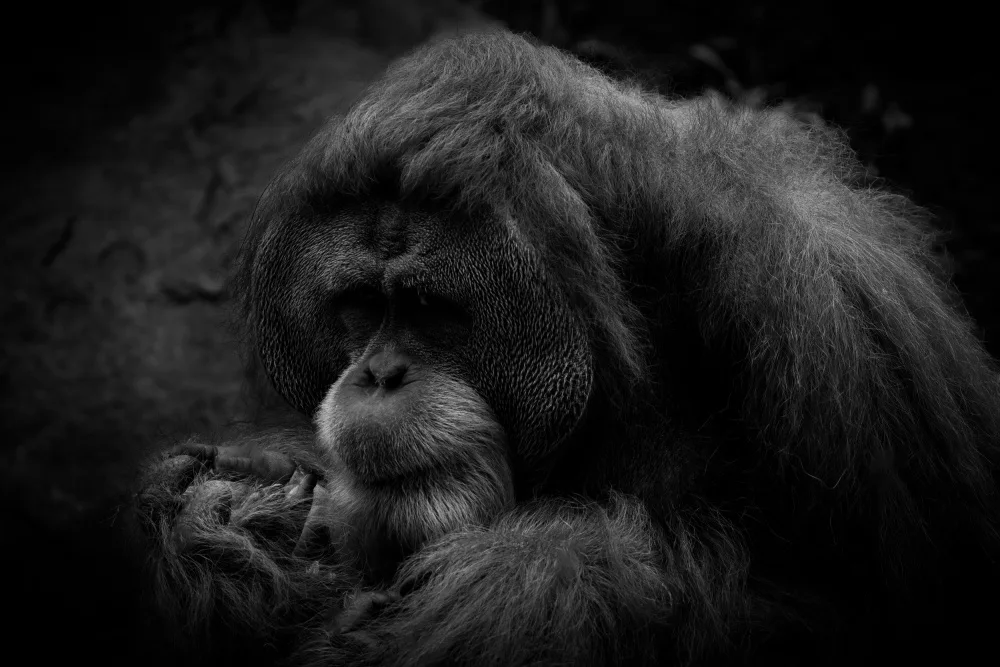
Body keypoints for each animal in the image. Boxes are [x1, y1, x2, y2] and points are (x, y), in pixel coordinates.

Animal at [127, 29, 1000, 666]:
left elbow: (838, 602)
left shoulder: (829, 323)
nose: (377, 372)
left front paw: (530, 580)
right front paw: (232, 509)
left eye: (428, 308)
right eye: (361, 306)